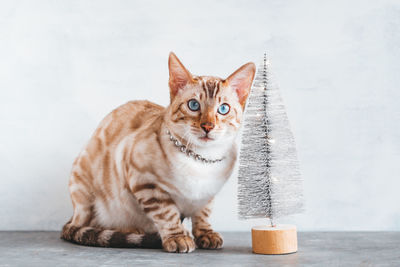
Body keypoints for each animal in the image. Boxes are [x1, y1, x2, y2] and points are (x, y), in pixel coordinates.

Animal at [61, 51, 256, 253]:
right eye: (194, 105)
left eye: (223, 109)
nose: (208, 126)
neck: (201, 159)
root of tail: (74, 214)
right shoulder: (146, 182)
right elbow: (167, 214)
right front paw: (178, 237)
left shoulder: (207, 194)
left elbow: (203, 215)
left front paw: (206, 234)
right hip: (85, 187)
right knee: (91, 225)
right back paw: (136, 231)